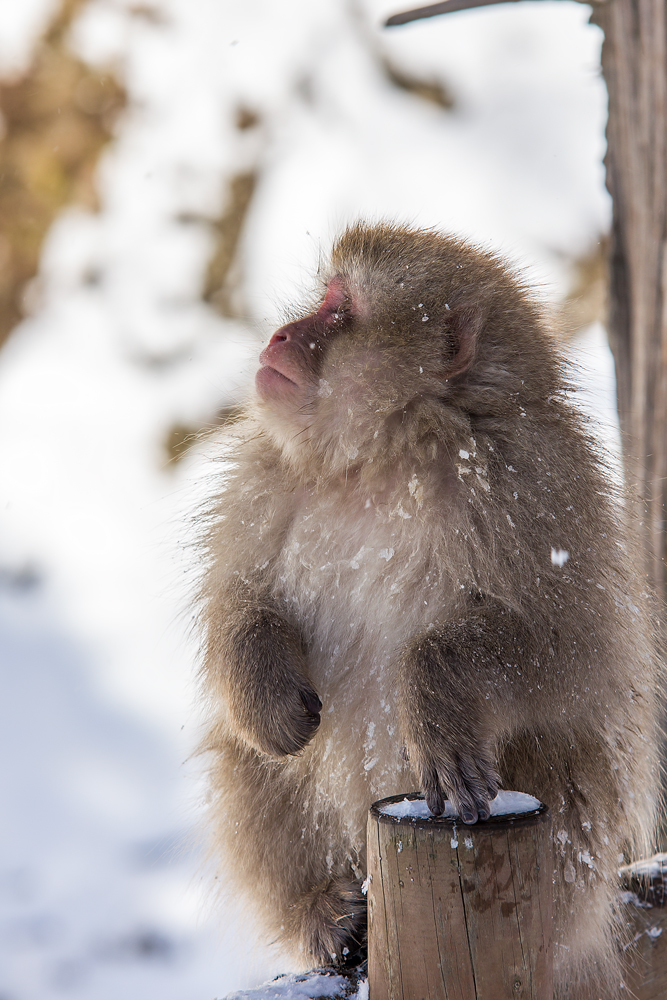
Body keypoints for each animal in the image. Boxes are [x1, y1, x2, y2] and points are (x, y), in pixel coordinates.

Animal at [197, 223, 664, 996]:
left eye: (340, 312)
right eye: (324, 299)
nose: (281, 334)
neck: (384, 459)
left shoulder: (528, 490)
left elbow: (574, 655)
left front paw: (437, 702)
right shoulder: (268, 476)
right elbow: (242, 597)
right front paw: (264, 691)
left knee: (563, 753)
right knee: (248, 762)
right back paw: (324, 912)